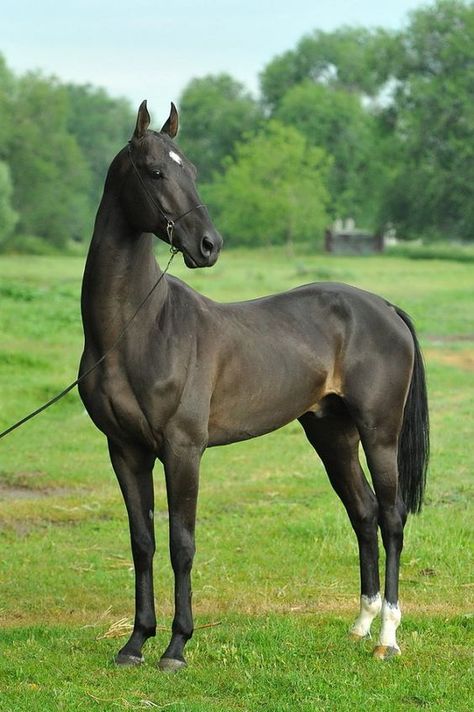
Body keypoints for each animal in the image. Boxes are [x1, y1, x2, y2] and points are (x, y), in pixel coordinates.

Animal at [78, 103, 430, 672]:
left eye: (193, 170)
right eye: (155, 172)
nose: (209, 245)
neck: (139, 328)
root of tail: (384, 307)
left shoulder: (183, 450)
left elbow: (181, 543)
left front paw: (176, 647)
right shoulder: (125, 450)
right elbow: (143, 542)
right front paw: (135, 643)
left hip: (380, 433)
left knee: (392, 518)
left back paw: (388, 637)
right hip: (332, 435)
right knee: (364, 514)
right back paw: (360, 625)